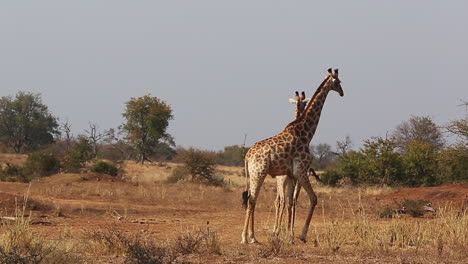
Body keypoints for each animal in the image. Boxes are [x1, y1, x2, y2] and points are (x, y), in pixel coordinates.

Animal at [241, 68, 344, 243]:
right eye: (338, 82)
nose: (343, 93)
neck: (306, 133)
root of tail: (248, 156)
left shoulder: (291, 175)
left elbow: (290, 202)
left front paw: (289, 236)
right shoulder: (300, 170)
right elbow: (313, 198)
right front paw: (301, 235)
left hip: (256, 174)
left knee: (254, 199)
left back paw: (252, 236)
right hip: (259, 172)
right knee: (253, 200)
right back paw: (248, 237)